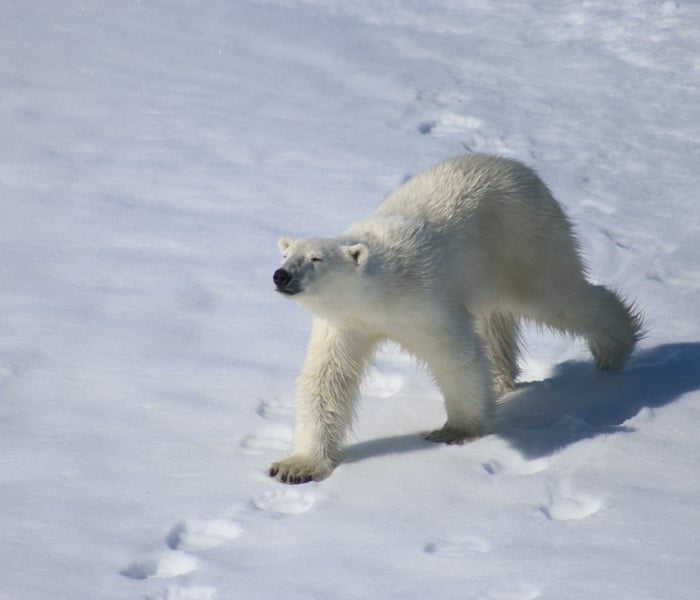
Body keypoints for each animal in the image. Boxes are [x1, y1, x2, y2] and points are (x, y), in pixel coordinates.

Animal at [270, 153, 642, 484]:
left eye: (316, 258)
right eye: (287, 255)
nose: (281, 275)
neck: (377, 294)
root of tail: (522, 169)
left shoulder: (425, 300)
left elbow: (456, 356)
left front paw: (455, 430)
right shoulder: (345, 323)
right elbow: (326, 378)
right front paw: (295, 467)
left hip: (524, 239)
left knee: (557, 297)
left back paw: (614, 349)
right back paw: (501, 381)